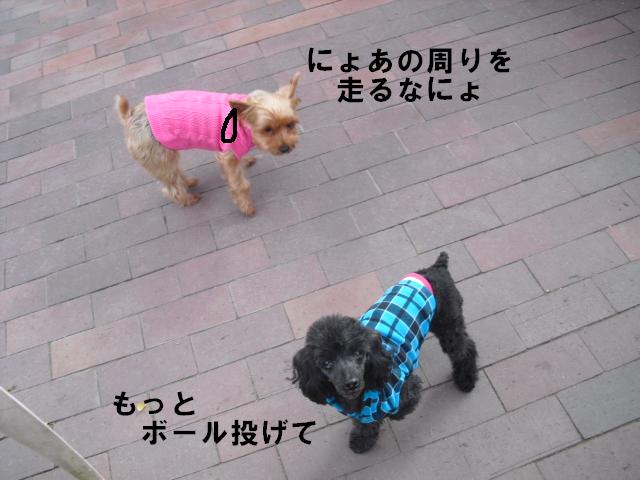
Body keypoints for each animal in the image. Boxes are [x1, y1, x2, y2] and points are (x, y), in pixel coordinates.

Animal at [114, 72, 301, 216]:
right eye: (267, 129)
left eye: (290, 124)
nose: (286, 148)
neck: (242, 121)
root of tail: (129, 117)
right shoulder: (227, 155)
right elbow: (239, 184)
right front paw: (246, 206)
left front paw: (246, 160)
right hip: (157, 155)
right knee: (170, 186)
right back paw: (188, 198)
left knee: (174, 172)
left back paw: (188, 182)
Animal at [292, 252, 478, 453]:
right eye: (326, 363)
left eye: (358, 353)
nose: (351, 384)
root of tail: (436, 268)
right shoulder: (361, 411)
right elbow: (365, 422)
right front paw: (362, 440)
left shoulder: (407, 386)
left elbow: (400, 408)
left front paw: (390, 417)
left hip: (448, 322)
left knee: (465, 349)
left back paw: (466, 379)